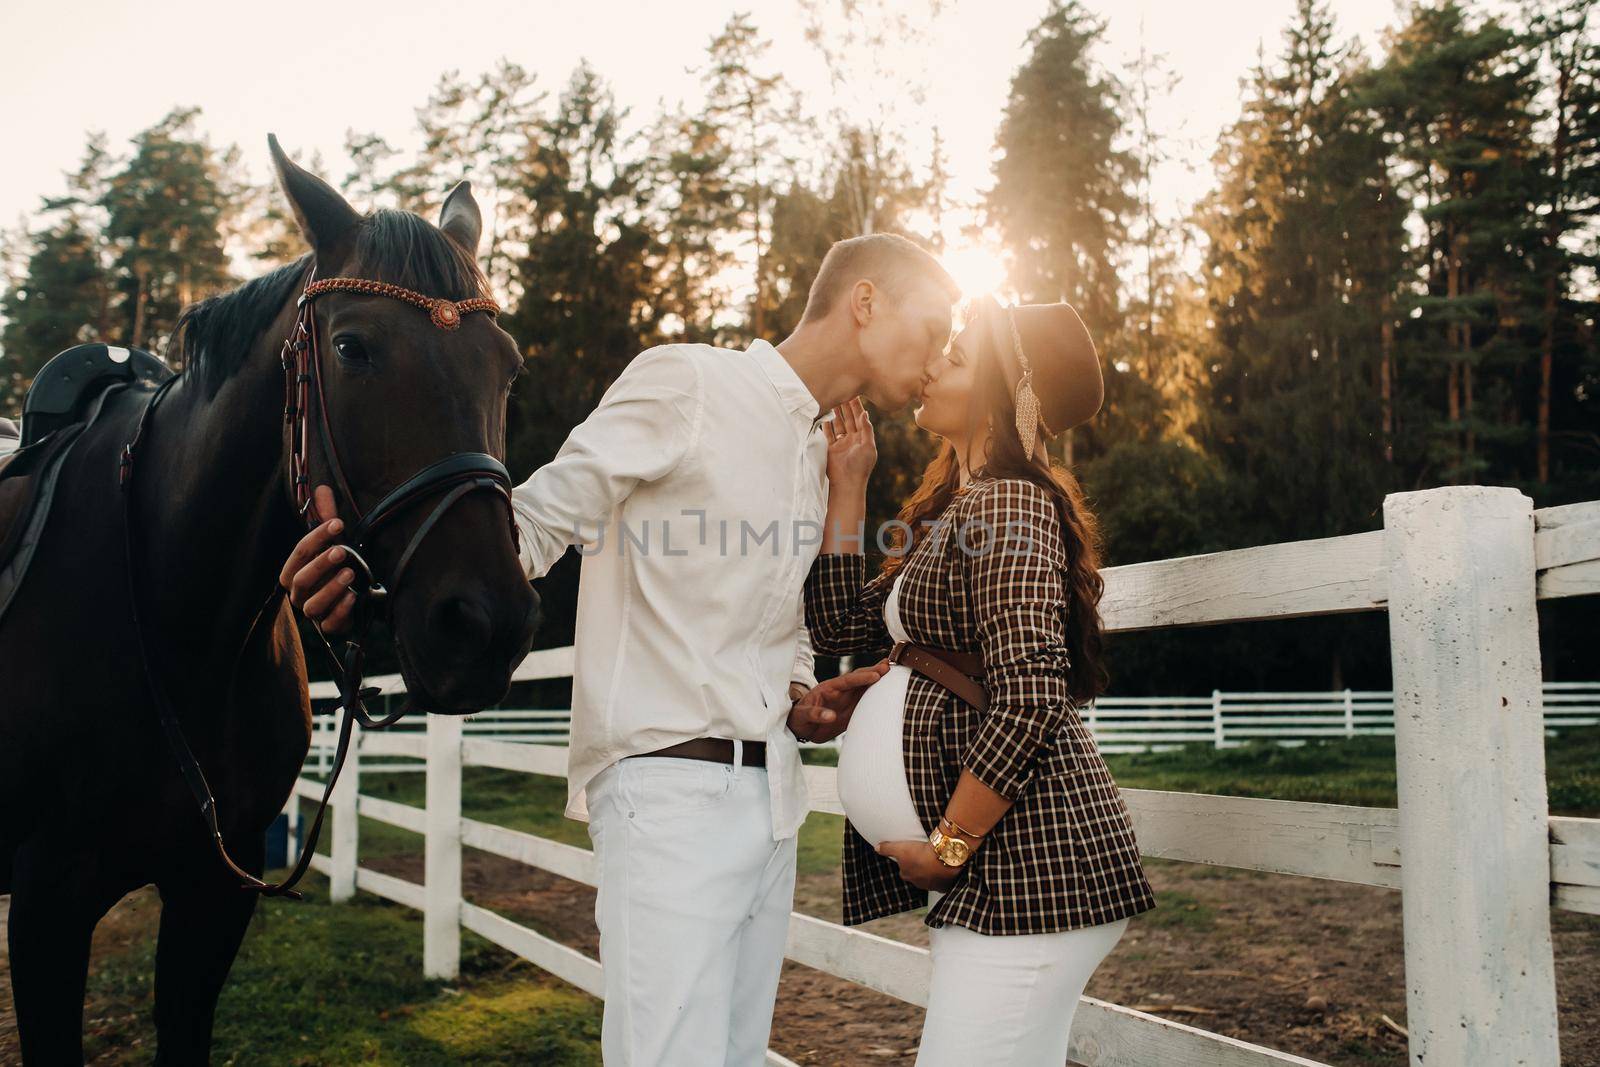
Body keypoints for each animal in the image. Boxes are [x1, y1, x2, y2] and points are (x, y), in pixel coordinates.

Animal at [0, 139, 540, 1062]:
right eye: (353, 347)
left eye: (506, 366)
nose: (486, 625)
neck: (183, 626)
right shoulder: (44, 908)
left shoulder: (214, 893)